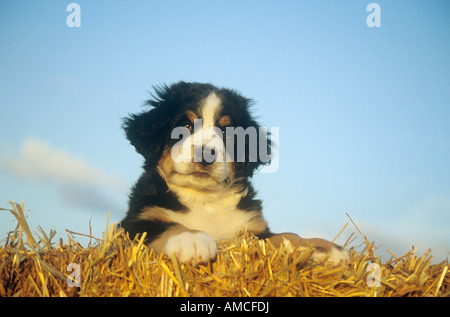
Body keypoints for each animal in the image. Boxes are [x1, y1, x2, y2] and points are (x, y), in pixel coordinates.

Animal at [120, 80, 348, 266]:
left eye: (226, 133)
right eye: (184, 126)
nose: (205, 154)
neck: (204, 200)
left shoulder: (252, 232)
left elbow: (286, 235)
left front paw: (323, 247)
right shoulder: (139, 220)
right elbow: (170, 226)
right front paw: (192, 239)